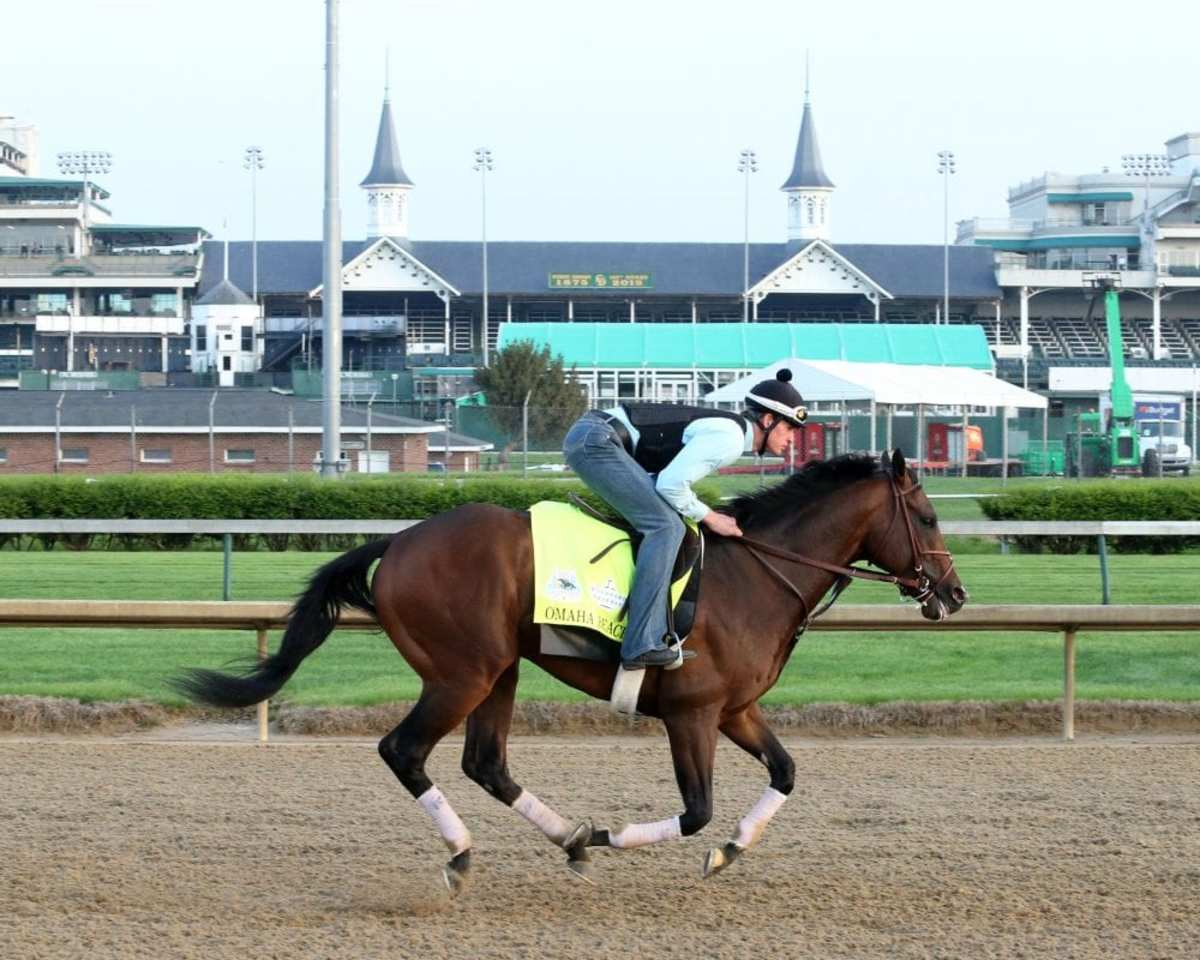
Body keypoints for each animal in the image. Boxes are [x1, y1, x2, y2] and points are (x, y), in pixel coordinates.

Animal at [174, 451, 964, 892]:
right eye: (926, 517)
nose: (954, 595)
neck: (757, 573)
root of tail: (396, 542)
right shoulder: (693, 714)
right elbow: (696, 809)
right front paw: (619, 837)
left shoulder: (735, 709)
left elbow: (786, 773)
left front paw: (729, 851)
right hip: (461, 673)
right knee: (403, 751)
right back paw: (465, 854)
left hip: (499, 670)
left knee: (486, 763)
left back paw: (568, 839)